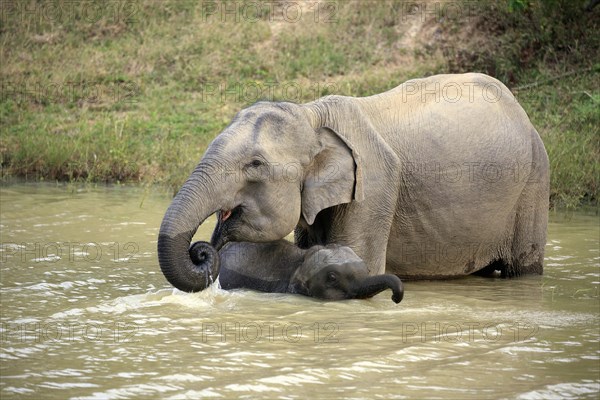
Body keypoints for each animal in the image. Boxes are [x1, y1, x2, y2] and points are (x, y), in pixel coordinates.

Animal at [158, 72, 548, 290]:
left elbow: (362, 261)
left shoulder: (375, 184)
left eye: (254, 165)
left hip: (535, 178)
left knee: (524, 266)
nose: (201, 250)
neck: (312, 115)